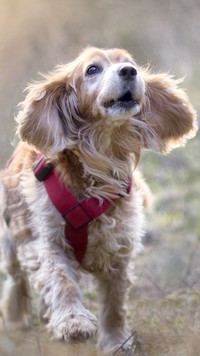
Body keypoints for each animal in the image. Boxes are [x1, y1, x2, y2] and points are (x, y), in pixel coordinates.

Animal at [0, 46, 197, 354]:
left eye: (130, 63)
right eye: (92, 69)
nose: (129, 72)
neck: (101, 160)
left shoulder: (119, 247)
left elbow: (115, 302)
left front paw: (116, 342)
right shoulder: (47, 240)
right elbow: (61, 280)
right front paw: (73, 322)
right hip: (11, 241)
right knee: (15, 281)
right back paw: (16, 319)